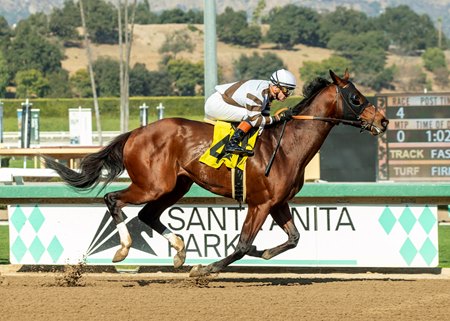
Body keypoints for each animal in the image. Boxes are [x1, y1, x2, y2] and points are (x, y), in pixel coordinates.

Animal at [46, 70, 390, 276]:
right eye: (356, 98)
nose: (384, 121)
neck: (287, 146)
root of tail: (136, 132)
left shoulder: (278, 202)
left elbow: (293, 238)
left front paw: (264, 251)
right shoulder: (260, 204)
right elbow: (241, 245)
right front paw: (206, 269)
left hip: (176, 186)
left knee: (147, 215)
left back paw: (179, 251)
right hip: (152, 184)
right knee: (113, 200)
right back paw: (123, 250)